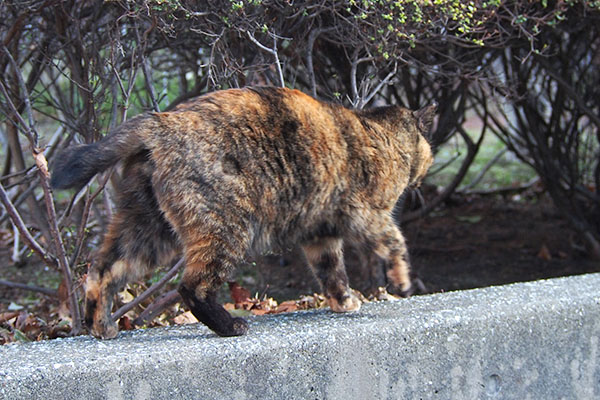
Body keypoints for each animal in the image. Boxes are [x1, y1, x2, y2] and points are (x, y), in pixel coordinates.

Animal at [51, 87, 434, 338]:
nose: (423, 178)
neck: (383, 136)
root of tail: (163, 121)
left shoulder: (320, 234)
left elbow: (331, 270)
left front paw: (343, 300)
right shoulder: (367, 214)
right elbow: (395, 243)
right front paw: (401, 281)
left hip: (148, 230)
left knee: (102, 271)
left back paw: (101, 327)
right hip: (225, 229)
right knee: (192, 287)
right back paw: (230, 326)